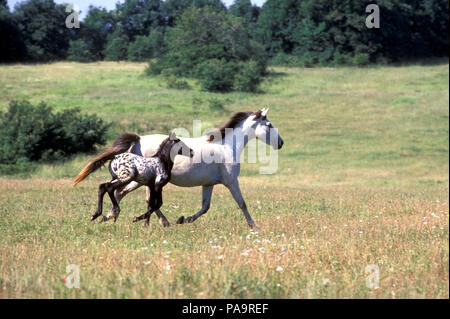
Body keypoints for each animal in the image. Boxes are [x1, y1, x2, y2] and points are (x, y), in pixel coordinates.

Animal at [103, 109, 284, 229]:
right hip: (139, 180)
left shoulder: (208, 184)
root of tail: (139, 139)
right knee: (125, 193)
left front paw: (184, 219)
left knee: (125, 194)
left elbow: (205, 207)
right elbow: (242, 203)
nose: (281, 143)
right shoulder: (231, 181)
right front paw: (254, 226)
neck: (227, 147)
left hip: (142, 180)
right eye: (269, 125)